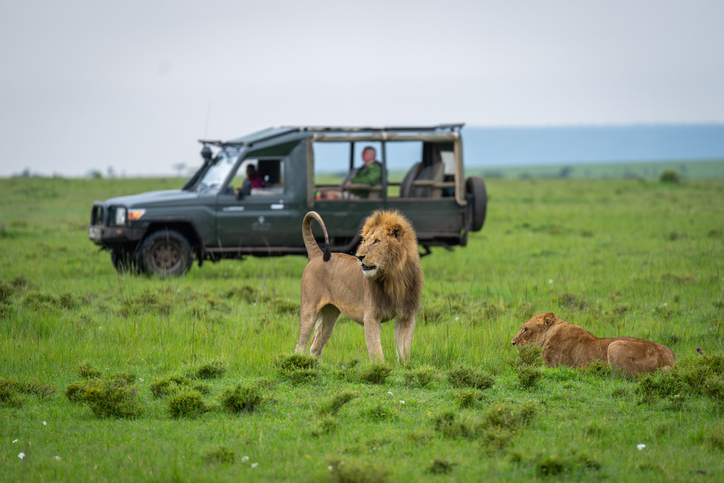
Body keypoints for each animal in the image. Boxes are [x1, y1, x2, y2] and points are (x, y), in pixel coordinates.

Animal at [295, 210, 423, 362]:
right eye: (364, 241)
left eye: (376, 241)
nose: (359, 256)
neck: (394, 277)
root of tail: (317, 254)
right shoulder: (371, 316)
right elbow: (376, 351)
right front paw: (380, 367)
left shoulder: (406, 315)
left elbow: (404, 350)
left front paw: (403, 367)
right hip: (309, 310)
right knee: (300, 346)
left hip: (329, 314)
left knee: (315, 346)